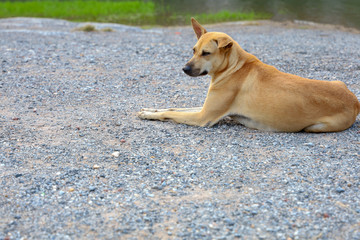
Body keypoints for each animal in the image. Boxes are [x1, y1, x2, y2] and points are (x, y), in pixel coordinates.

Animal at [136, 17, 358, 132]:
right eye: (193, 50)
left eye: (206, 53)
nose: (185, 69)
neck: (234, 67)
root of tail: (356, 102)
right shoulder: (205, 108)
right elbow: (173, 107)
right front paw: (149, 109)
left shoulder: (203, 117)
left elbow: (172, 113)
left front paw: (150, 115)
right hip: (338, 82)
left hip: (317, 126)